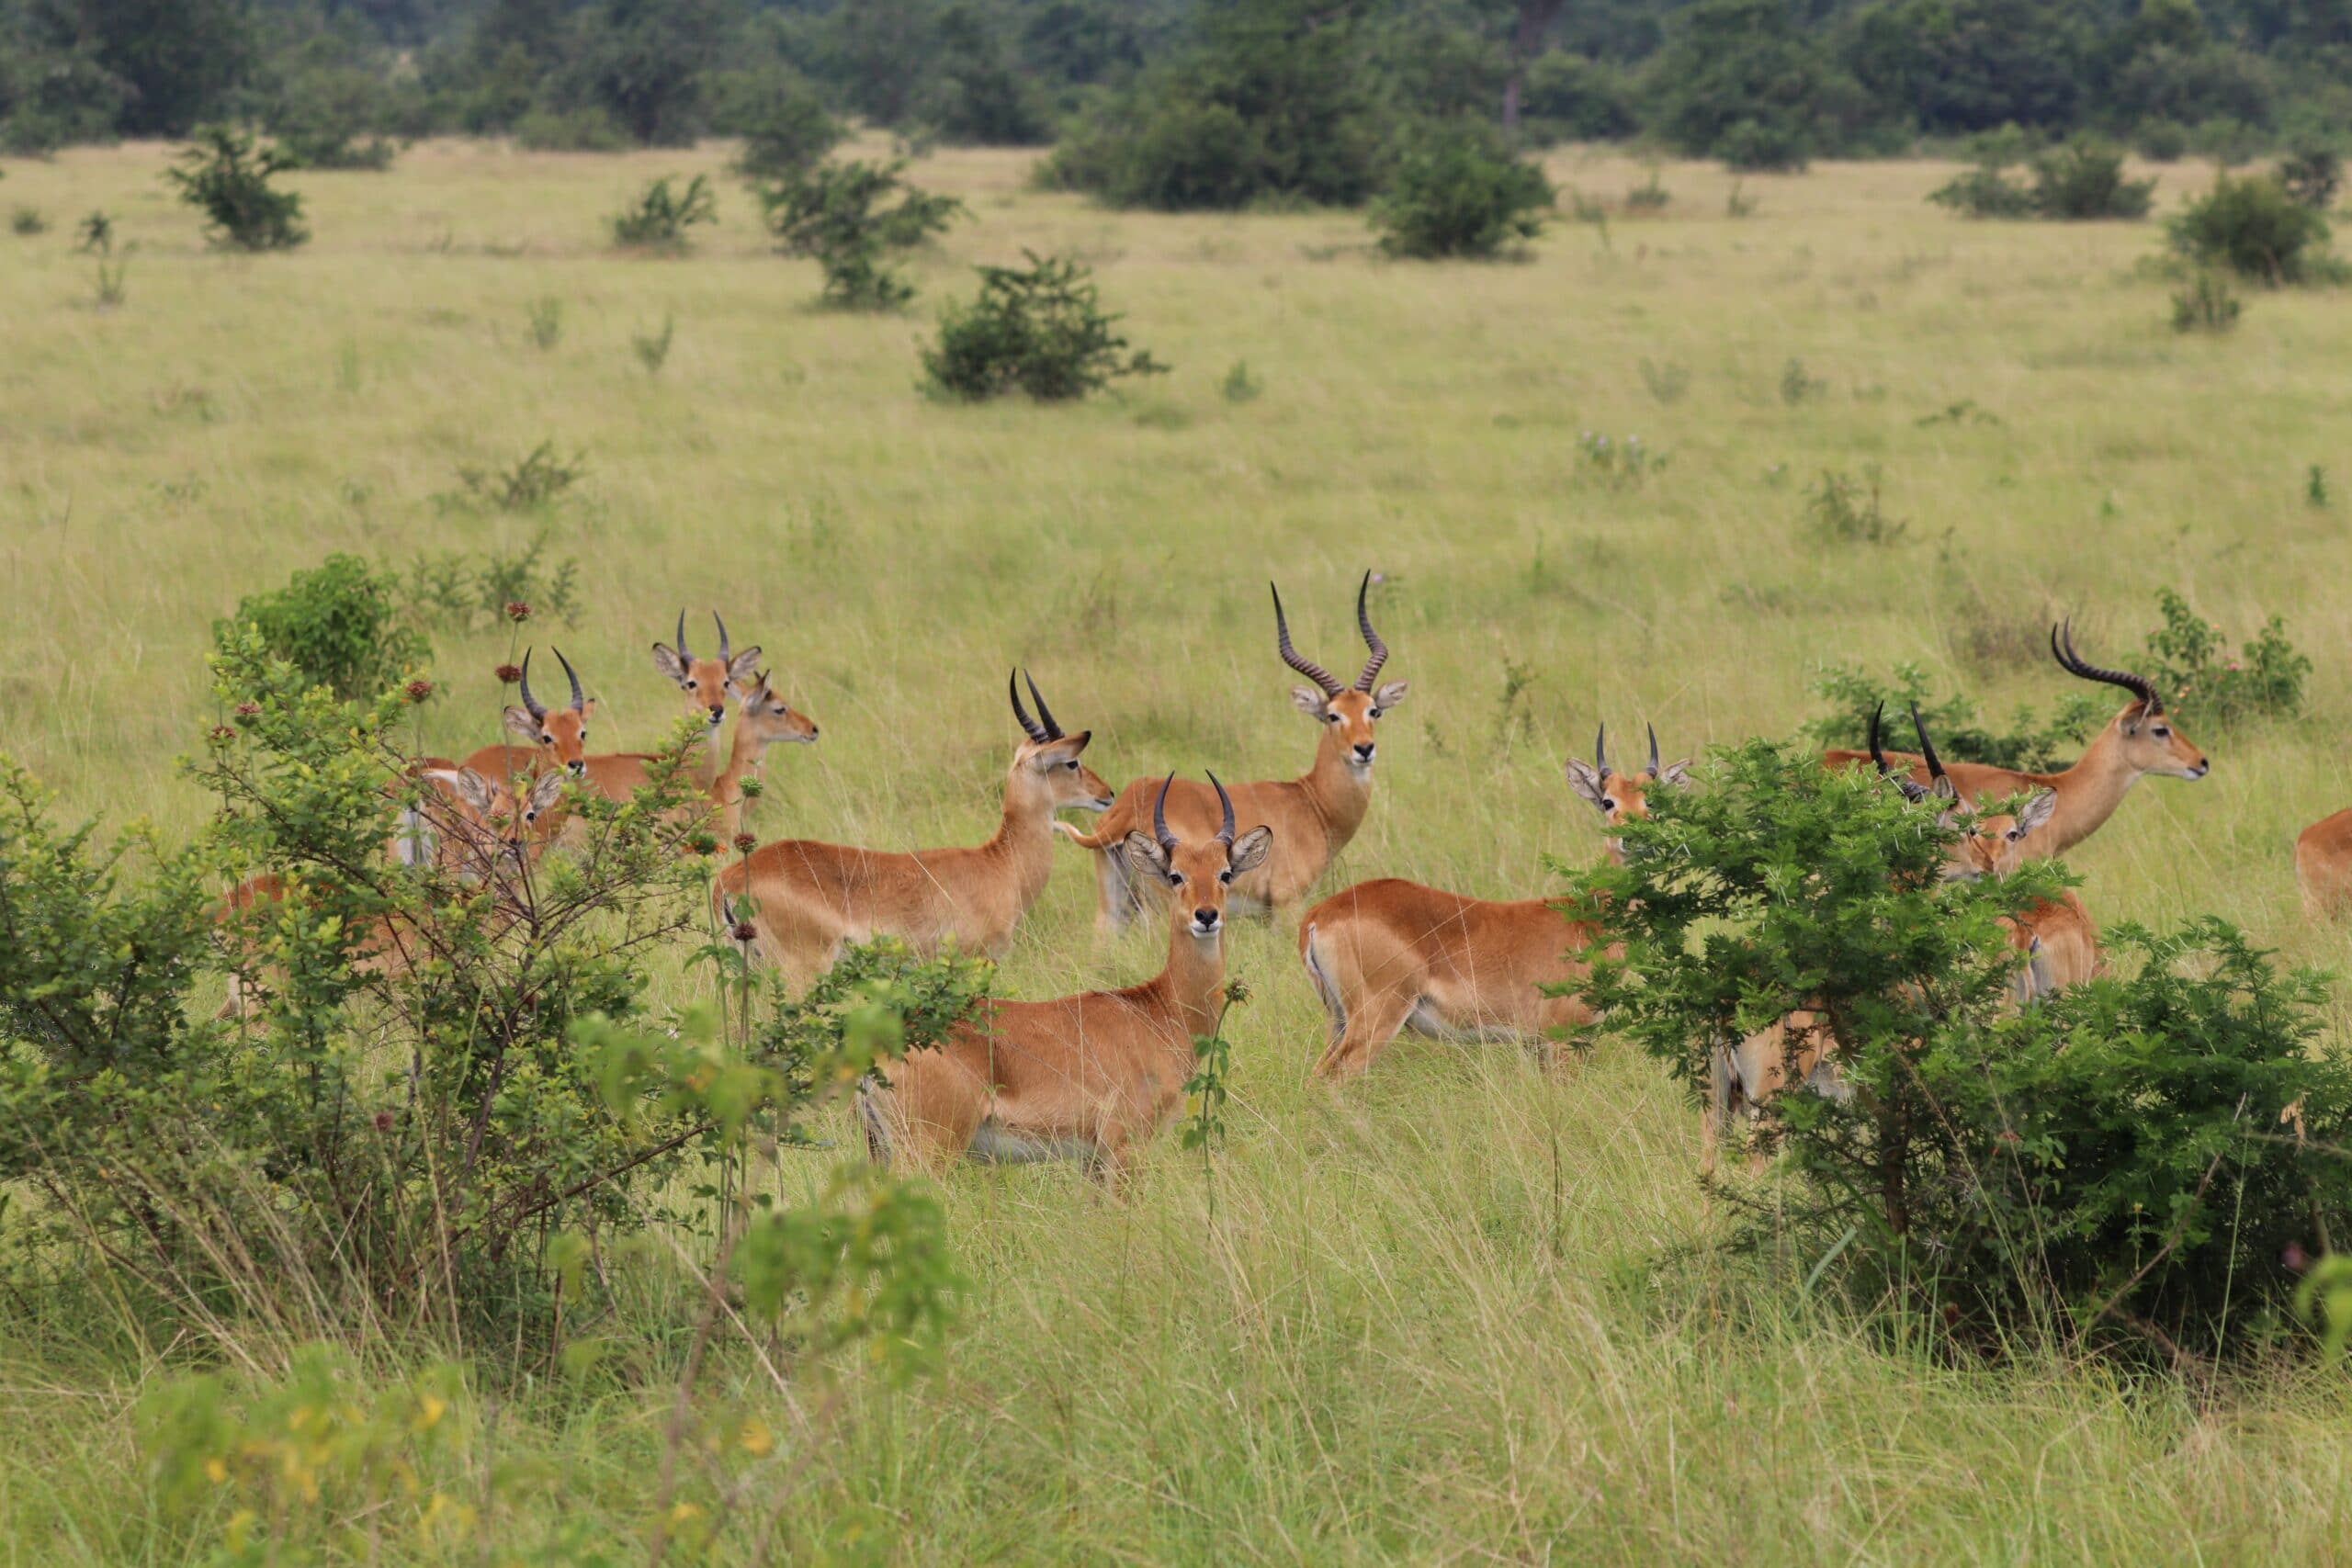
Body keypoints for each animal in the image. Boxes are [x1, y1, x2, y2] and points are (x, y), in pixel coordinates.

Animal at [860, 766, 1270, 1184]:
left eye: (1225, 873)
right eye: (1175, 875)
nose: (1206, 916)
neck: (1160, 1011)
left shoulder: (1092, 1160)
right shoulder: (1124, 1151)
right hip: (929, 1153)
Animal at [1072, 576, 1411, 931]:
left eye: (1373, 711)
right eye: (1333, 715)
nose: (1364, 748)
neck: (1311, 802)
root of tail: (1129, 805)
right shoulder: (1287, 904)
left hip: (1114, 908)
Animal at [1298, 724, 1683, 1081]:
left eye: (1652, 802)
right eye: (1608, 801)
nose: (1634, 836)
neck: (1590, 919)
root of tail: (1319, 915)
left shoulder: (1536, 1045)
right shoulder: (1561, 1039)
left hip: (1339, 1021)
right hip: (1376, 1019)